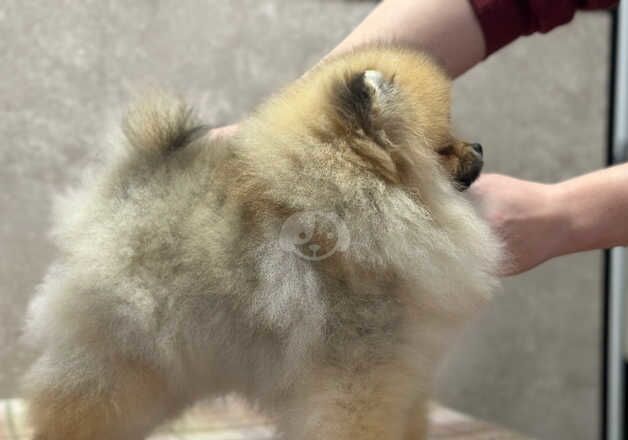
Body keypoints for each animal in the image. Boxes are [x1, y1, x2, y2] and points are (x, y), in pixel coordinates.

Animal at [23, 46, 500, 438]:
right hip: (119, 357)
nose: (478, 146)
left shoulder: (405, 373)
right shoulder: (357, 376)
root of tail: (126, 184)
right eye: (443, 147)